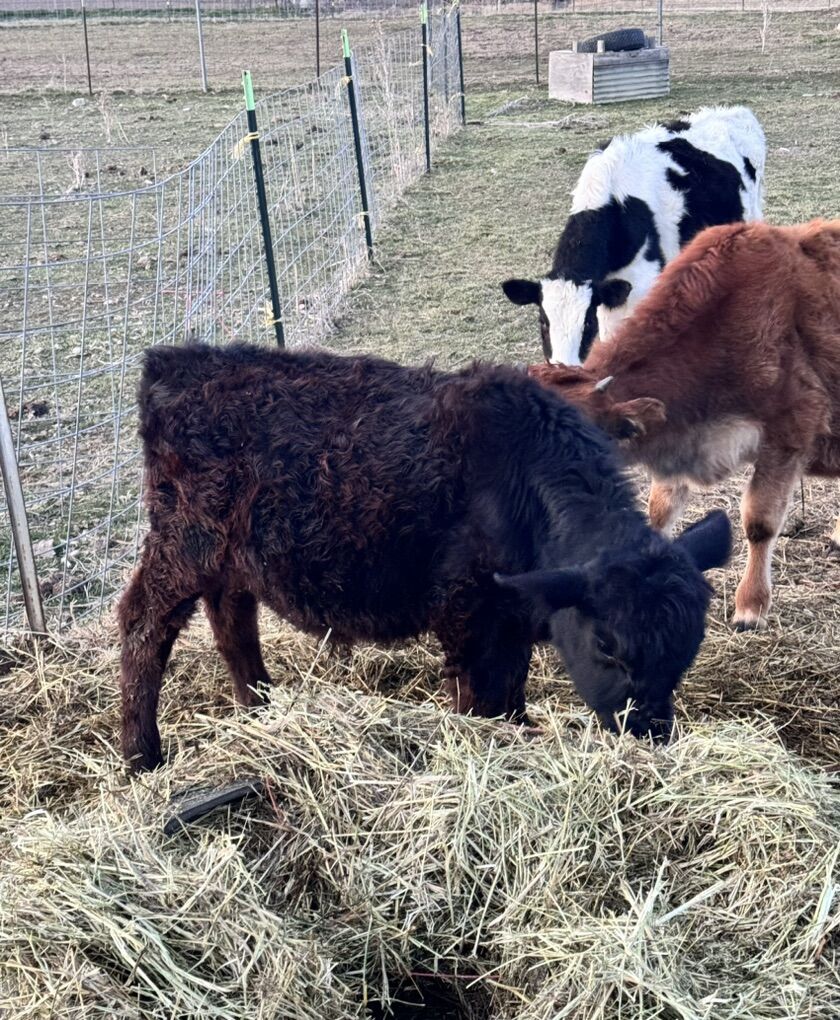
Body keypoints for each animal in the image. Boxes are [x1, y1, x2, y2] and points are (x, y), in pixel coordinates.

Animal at [118, 343, 731, 771]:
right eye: (607, 644)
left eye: (689, 644)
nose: (650, 734)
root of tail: (177, 363)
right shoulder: (468, 615)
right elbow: (484, 703)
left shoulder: (509, 624)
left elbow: (512, 699)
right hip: (182, 544)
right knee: (144, 621)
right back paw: (142, 756)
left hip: (232, 556)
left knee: (232, 621)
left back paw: (260, 710)